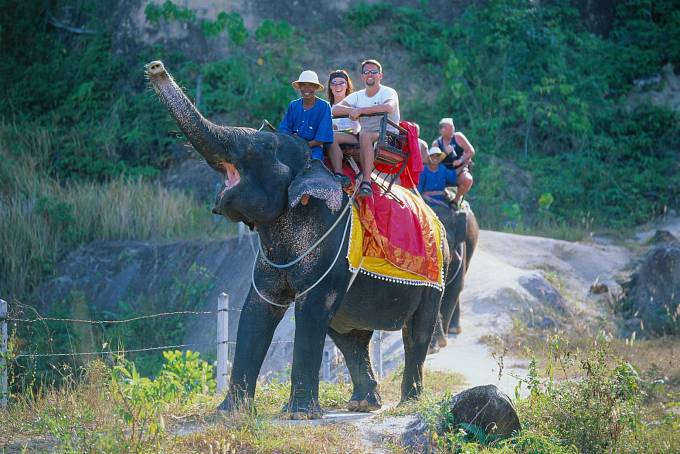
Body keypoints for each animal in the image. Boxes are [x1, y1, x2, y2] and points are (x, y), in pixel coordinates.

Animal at [147, 60, 478, 418]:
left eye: (264, 148)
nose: (156, 67)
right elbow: (257, 308)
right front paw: (229, 412)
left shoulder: (330, 237)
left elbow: (310, 309)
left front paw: (298, 413)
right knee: (348, 333)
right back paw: (363, 403)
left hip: (435, 273)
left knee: (415, 331)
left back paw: (408, 402)